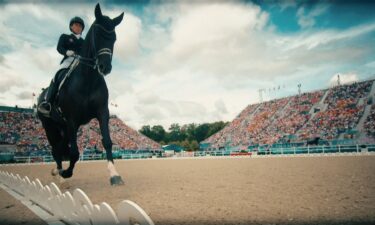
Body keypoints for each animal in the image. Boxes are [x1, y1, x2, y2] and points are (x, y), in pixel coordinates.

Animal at [39, 3, 125, 185]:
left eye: (113, 38)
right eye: (97, 35)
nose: (105, 67)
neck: (88, 79)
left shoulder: (101, 112)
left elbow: (107, 141)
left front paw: (114, 174)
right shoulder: (72, 119)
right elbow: (75, 152)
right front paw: (66, 173)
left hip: (64, 126)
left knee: (59, 148)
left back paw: (58, 172)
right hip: (50, 126)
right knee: (56, 149)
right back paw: (60, 175)